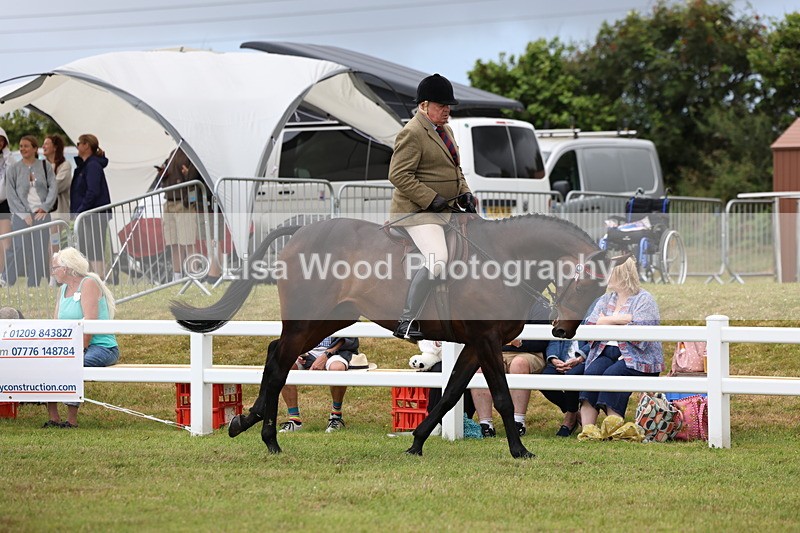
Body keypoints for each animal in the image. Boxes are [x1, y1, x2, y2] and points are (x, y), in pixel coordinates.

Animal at [172, 213, 617, 459]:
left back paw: (250, 423)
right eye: (583, 284)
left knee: (274, 354)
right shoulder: (488, 341)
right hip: (309, 319)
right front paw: (520, 450)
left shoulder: (475, 345)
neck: (504, 260)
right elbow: (504, 398)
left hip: (328, 319)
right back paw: (264, 435)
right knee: (281, 359)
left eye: (600, 289)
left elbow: (451, 393)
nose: (561, 330)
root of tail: (302, 231)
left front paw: (416, 442)